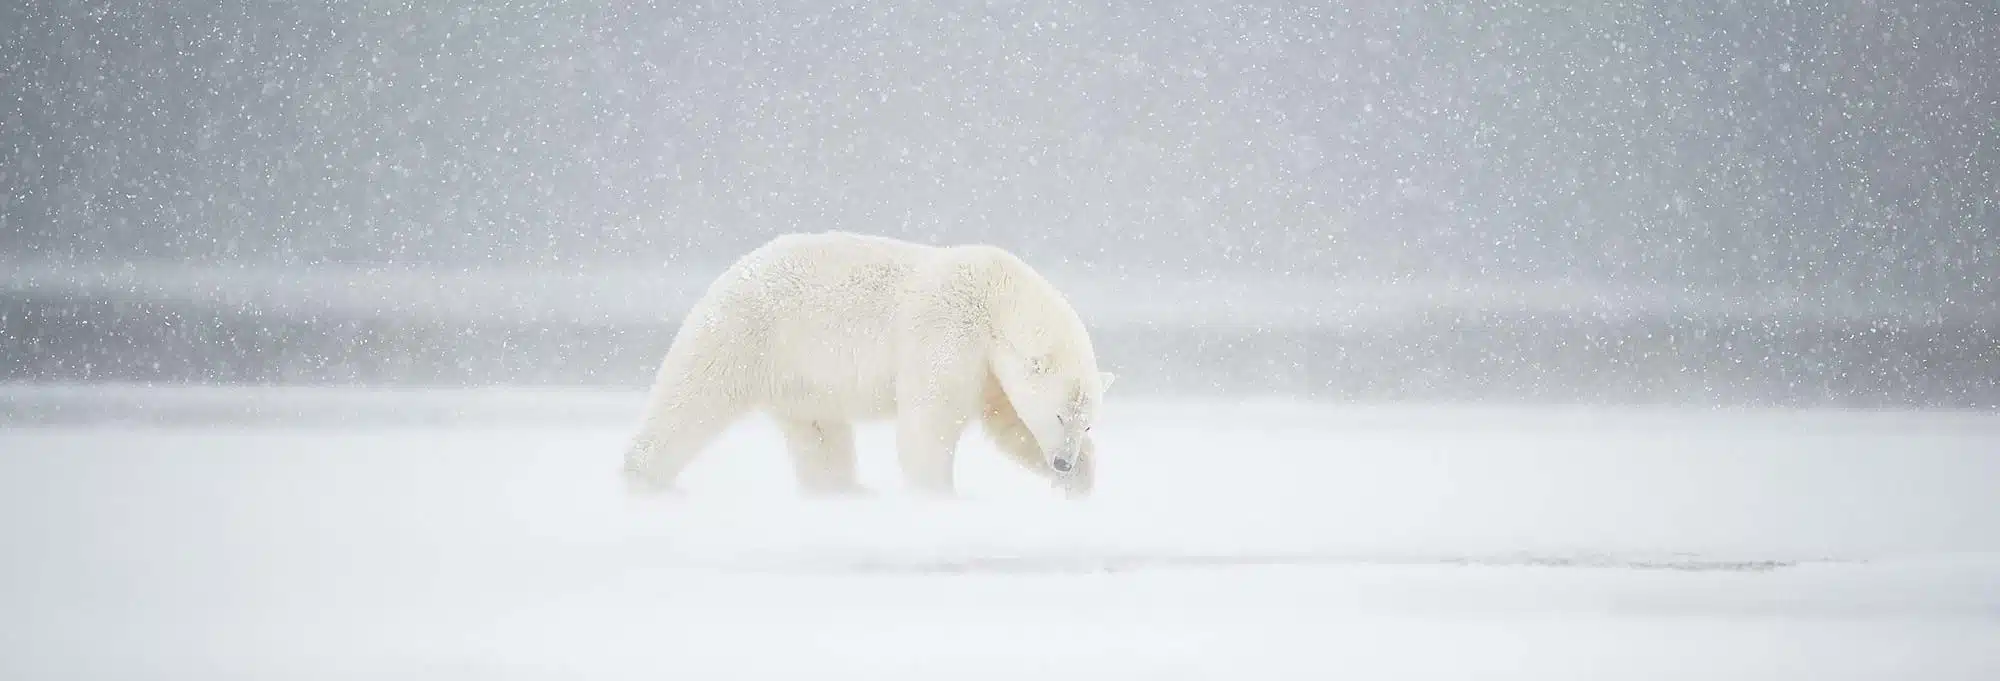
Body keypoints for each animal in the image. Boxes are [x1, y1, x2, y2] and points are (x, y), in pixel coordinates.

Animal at [620, 231, 1115, 499]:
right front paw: (940, 494)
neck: (993, 292)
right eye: (1060, 415)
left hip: (800, 375)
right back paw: (646, 477)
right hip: (746, 334)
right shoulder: (946, 329)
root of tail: (728, 275)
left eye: (1087, 422)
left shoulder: (990, 367)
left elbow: (1008, 423)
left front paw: (1082, 482)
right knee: (690, 399)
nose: (1063, 462)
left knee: (819, 434)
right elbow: (932, 417)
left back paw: (847, 490)